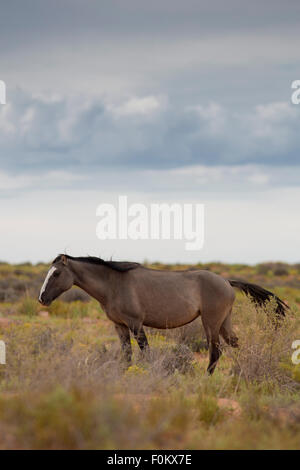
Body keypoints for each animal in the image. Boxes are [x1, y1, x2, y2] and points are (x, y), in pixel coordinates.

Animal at [38, 253, 288, 374]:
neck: (114, 284)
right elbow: (126, 354)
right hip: (224, 323)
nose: (42, 298)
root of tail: (226, 281)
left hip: (211, 323)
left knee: (215, 352)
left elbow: (146, 352)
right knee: (236, 345)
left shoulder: (136, 324)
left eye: (56, 273)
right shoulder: (120, 326)